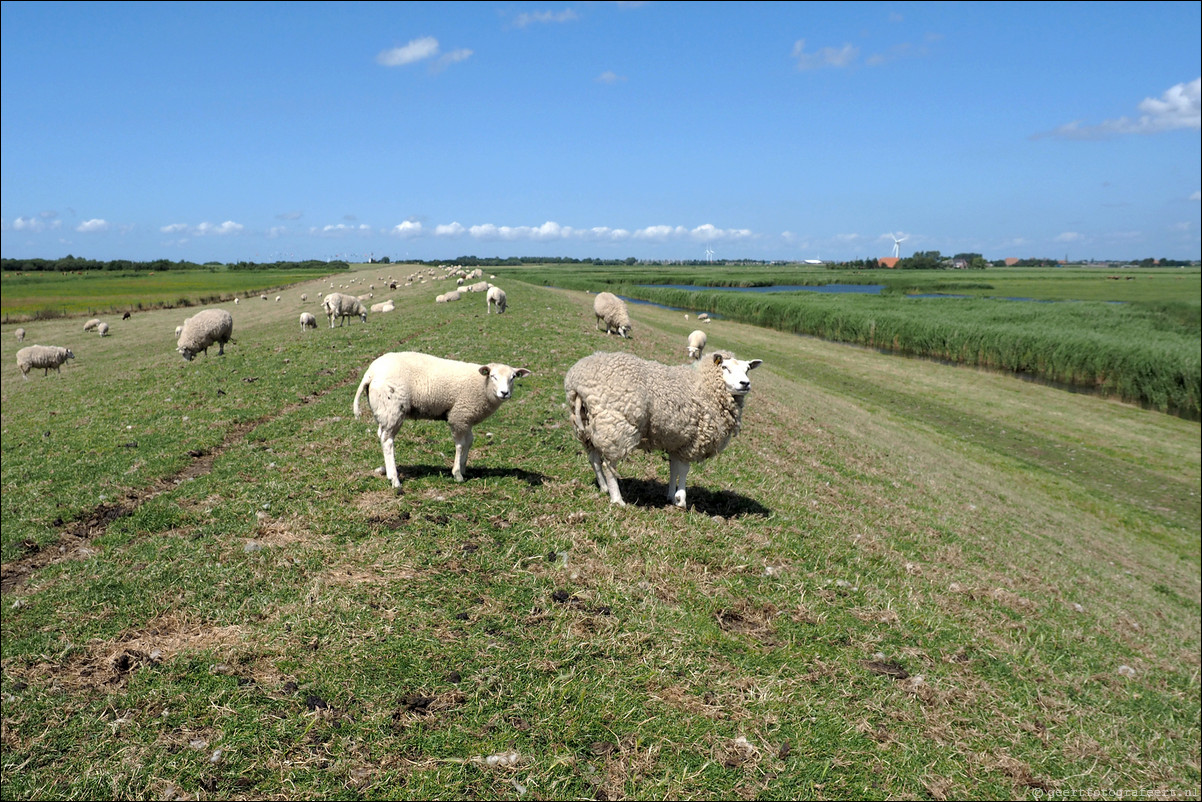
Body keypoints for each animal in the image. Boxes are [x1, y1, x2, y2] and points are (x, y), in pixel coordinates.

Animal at [350, 351, 531, 490]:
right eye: (493, 376)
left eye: (513, 377)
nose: (504, 393)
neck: (482, 386)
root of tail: (370, 372)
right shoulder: (459, 415)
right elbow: (460, 445)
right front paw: (457, 474)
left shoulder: (466, 419)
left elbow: (469, 442)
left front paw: (463, 468)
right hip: (393, 409)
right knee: (387, 441)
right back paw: (395, 480)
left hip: (384, 412)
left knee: (381, 436)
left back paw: (388, 473)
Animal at [560, 348, 759, 507]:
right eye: (724, 367)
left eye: (747, 370)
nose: (745, 384)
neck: (703, 384)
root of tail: (578, 383)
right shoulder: (693, 441)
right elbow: (684, 470)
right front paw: (681, 500)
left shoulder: (677, 440)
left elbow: (673, 468)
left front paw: (671, 496)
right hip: (616, 426)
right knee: (608, 465)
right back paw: (617, 499)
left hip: (586, 425)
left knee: (593, 458)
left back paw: (603, 488)